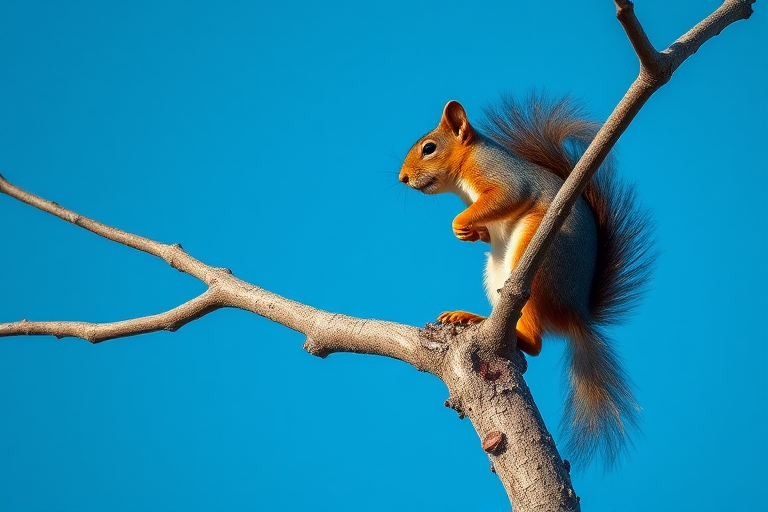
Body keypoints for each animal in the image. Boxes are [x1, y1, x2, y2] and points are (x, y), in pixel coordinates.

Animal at [399, 94, 654, 468]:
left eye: (429, 148)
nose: (402, 178)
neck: (465, 174)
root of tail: (574, 311)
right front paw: (473, 233)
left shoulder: (501, 176)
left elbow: (507, 196)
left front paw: (461, 223)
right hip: (496, 272)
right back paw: (473, 318)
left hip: (537, 257)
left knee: (535, 342)